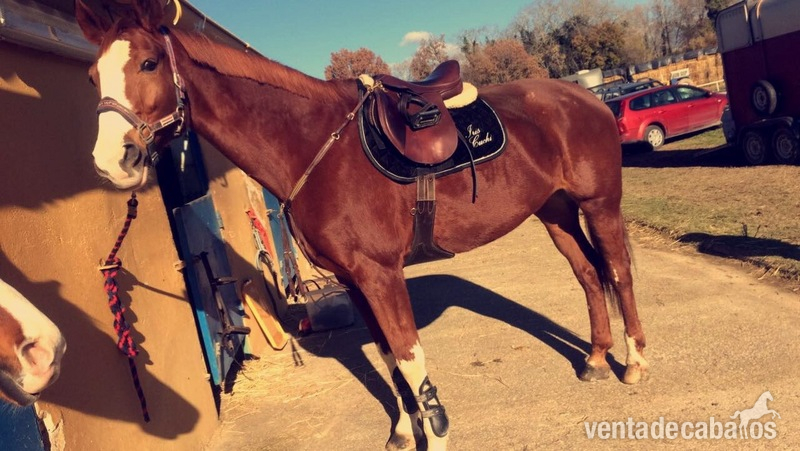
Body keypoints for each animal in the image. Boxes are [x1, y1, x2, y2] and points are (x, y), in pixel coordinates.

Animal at [75, 1, 648, 448]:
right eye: (91, 78)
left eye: (149, 62)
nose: (112, 161)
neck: (316, 146)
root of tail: (587, 97)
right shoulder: (354, 280)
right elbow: (389, 359)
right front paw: (403, 429)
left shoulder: (381, 275)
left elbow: (410, 358)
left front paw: (435, 431)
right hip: (555, 212)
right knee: (588, 275)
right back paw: (597, 359)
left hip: (600, 205)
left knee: (619, 273)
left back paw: (635, 364)